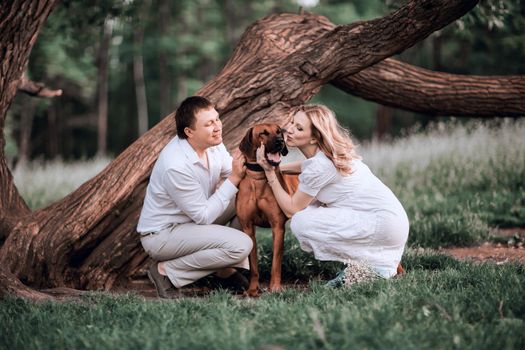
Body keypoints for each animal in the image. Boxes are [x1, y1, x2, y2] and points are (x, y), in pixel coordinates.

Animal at [235, 123, 296, 296]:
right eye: (263, 133)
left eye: (279, 131)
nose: (280, 141)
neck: (259, 178)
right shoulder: (248, 227)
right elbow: (253, 265)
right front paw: (252, 289)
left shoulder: (278, 227)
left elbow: (276, 263)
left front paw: (274, 287)